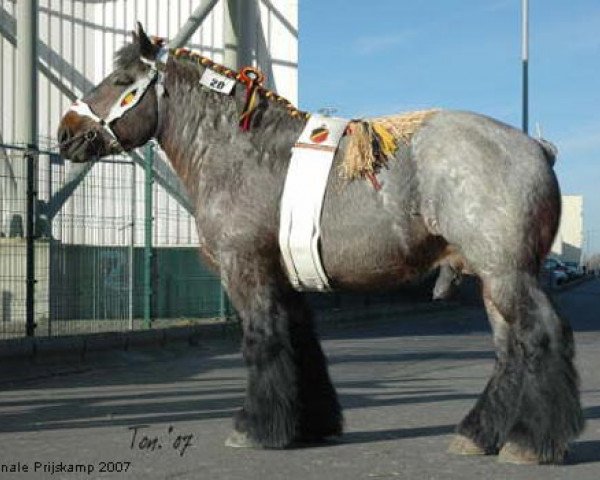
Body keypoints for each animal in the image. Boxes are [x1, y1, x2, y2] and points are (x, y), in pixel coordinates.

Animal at [56, 23, 580, 464]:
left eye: (121, 78)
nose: (66, 133)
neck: (242, 153)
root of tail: (537, 148)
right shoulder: (286, 279)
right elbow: (299, 343)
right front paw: (308, 424)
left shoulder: (246, 270)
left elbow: (263, 340)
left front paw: (255, 428)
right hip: (493, 279)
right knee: (510, 351)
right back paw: (479, 433)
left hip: (506, 273)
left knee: (540, 337)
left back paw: (528, 441)